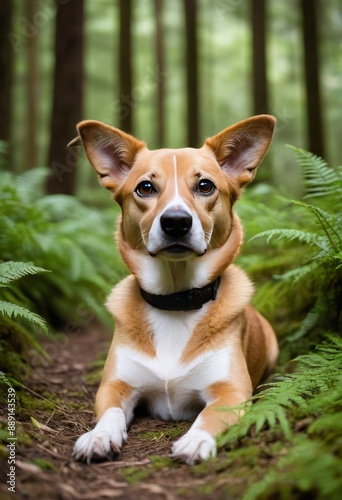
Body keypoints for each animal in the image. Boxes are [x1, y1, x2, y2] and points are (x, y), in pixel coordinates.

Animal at [71, 114, 278, 464]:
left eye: (205, 185)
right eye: (146, 187)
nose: (177, 222)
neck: (175, 299)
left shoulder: (230, 390)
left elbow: (210, 414)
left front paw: (196, 440)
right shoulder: (115, 384)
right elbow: (111, 411)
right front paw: (98, 436)